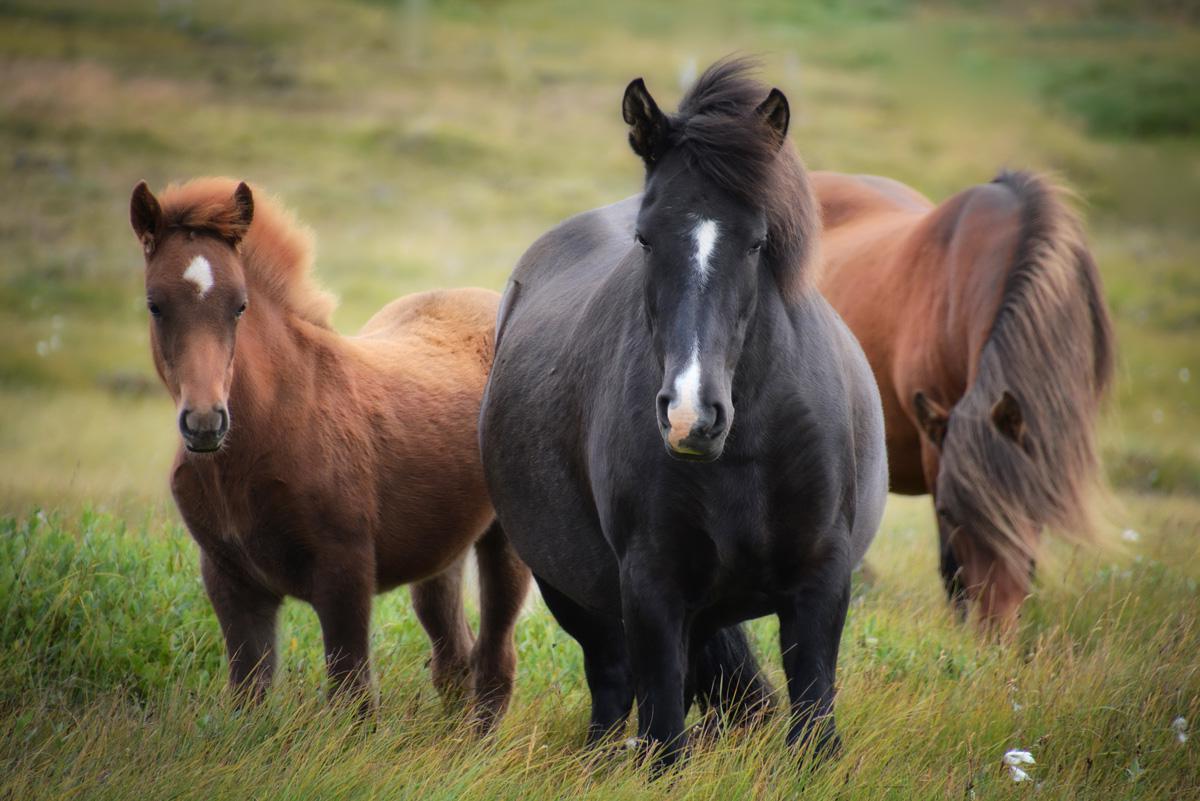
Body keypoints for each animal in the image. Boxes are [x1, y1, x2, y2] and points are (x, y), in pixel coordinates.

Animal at [129, 178, 530, 729]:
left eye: (239, 305)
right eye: (154, 305)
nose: (205, 423)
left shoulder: (345, 572)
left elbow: (353, 696)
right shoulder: (230, 579)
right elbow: (249, 694)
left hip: (506, 541)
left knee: (495, 659)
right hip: (440, 551)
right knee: (454, 656)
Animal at [479, 59, 888, 768]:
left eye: (757, 242)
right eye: (645, 239)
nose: (690, 417)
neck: (748, 448)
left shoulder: (821, 580)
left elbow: (813, 722)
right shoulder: (651, 587)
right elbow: (665, 736)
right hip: (571, 590)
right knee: (612, 685)